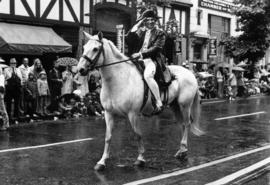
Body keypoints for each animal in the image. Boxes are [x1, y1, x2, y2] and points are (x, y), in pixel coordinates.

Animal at [77, 31, 204, 171]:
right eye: (84, 47)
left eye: (95, 49)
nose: (80, 69)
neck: (118, 79)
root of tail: (190, 73)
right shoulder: (108, 113)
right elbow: (108, 137)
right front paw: (102, 161)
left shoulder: (133, 114)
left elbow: (138, 134)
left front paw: (140, 159)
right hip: (175, 106)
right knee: (182, 124)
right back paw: (181, 150)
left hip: (184, 105)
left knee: (187, 124)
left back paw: (183, 150)